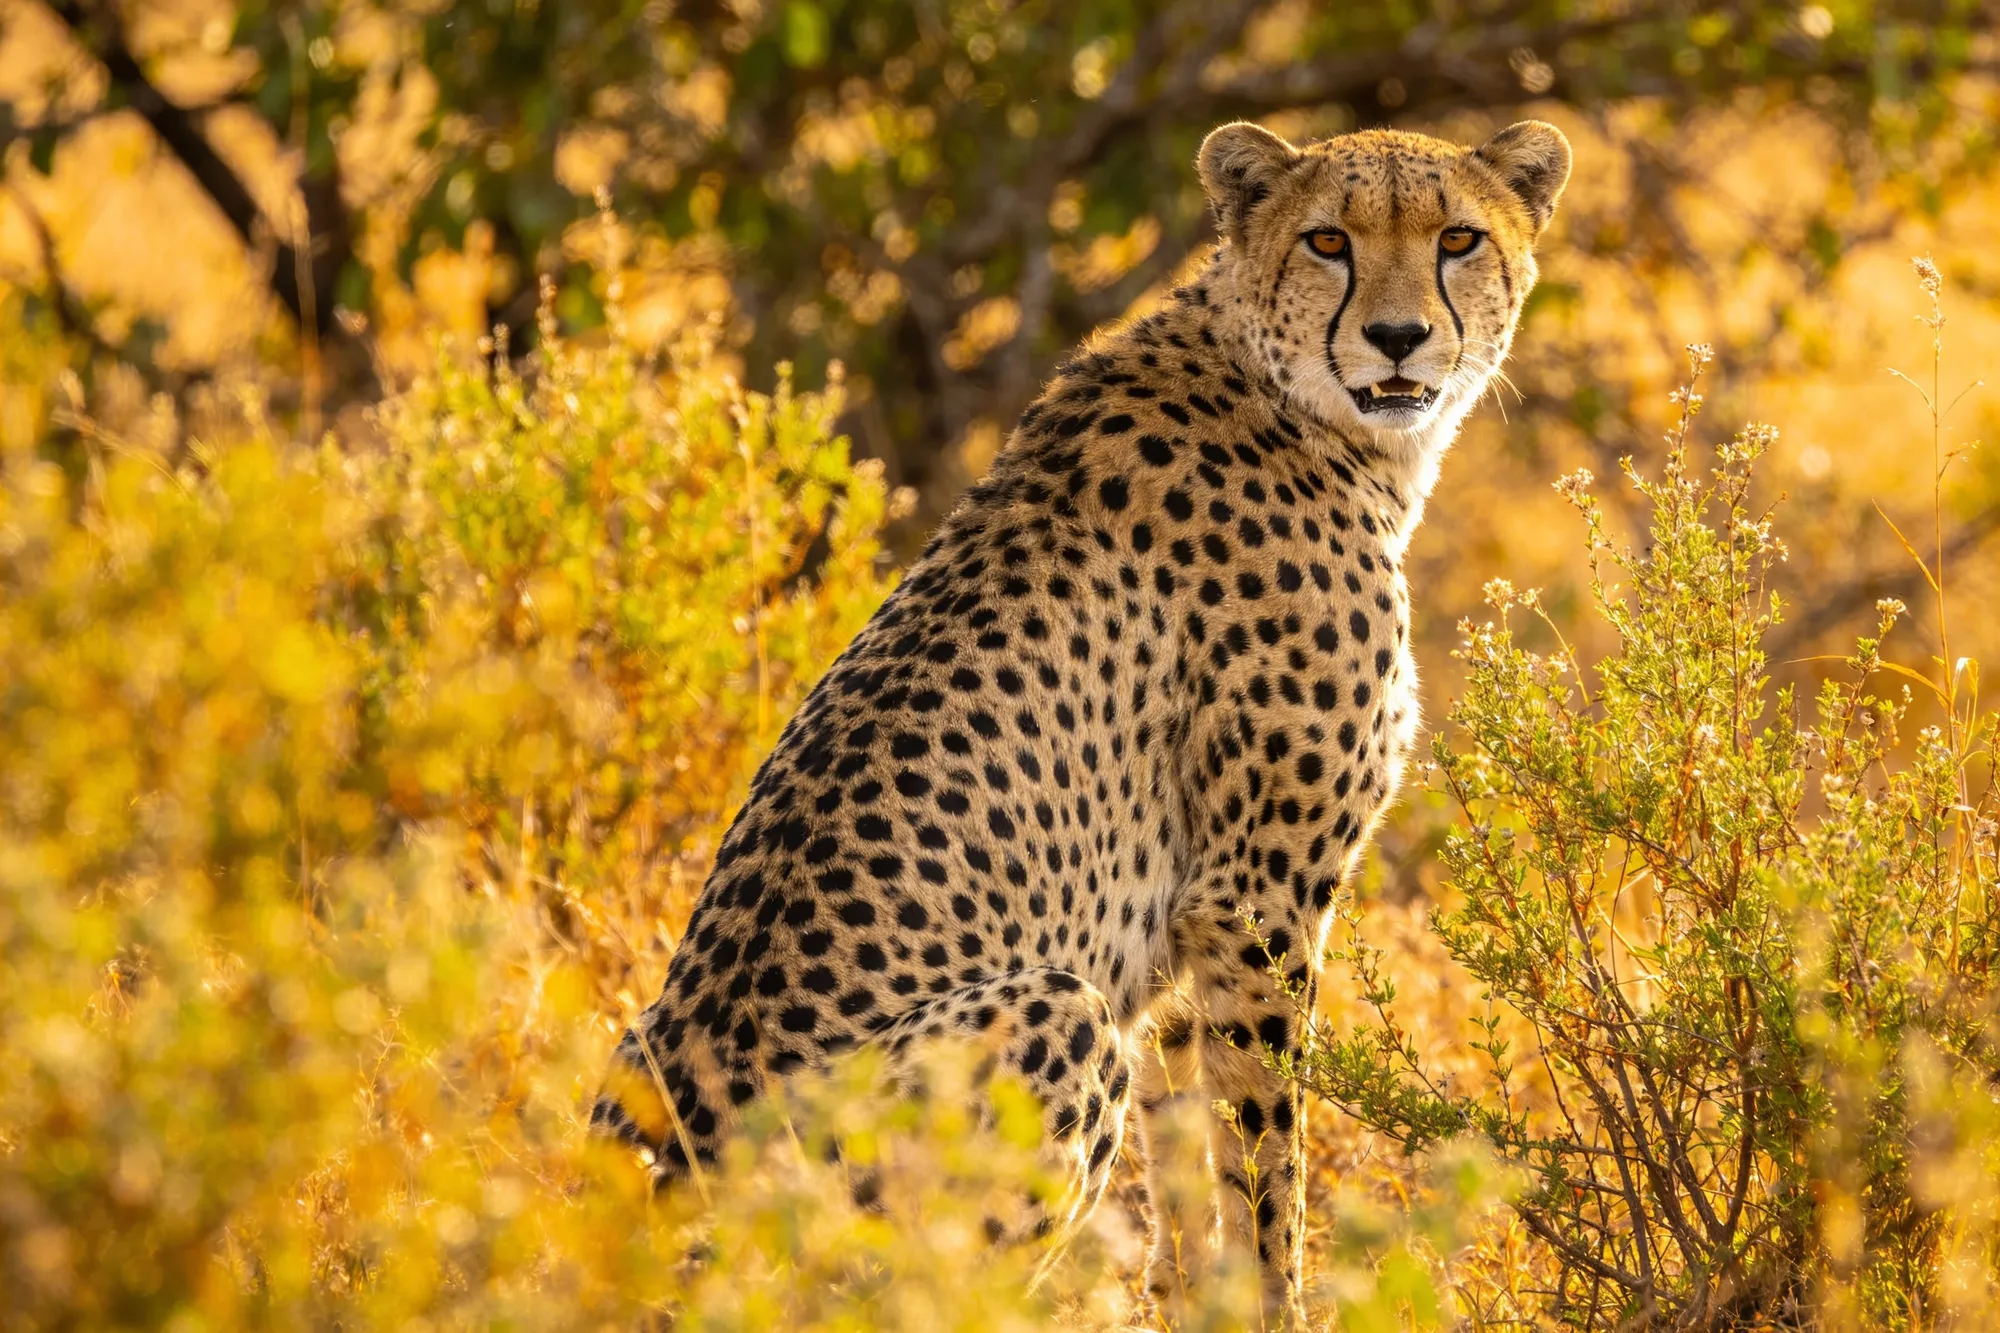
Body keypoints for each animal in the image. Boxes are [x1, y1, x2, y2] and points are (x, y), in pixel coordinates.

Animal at [592, 116, 1570, 1323]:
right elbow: (1265, 1152)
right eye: (1329, 240)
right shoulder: (1252, 900)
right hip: (1051, 1013)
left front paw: (1191, 1301)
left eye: (1458, 239)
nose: (1397, 338)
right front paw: (1278, 1306)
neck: (1292, 398)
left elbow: (1189, 1146)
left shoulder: (1179, 922)